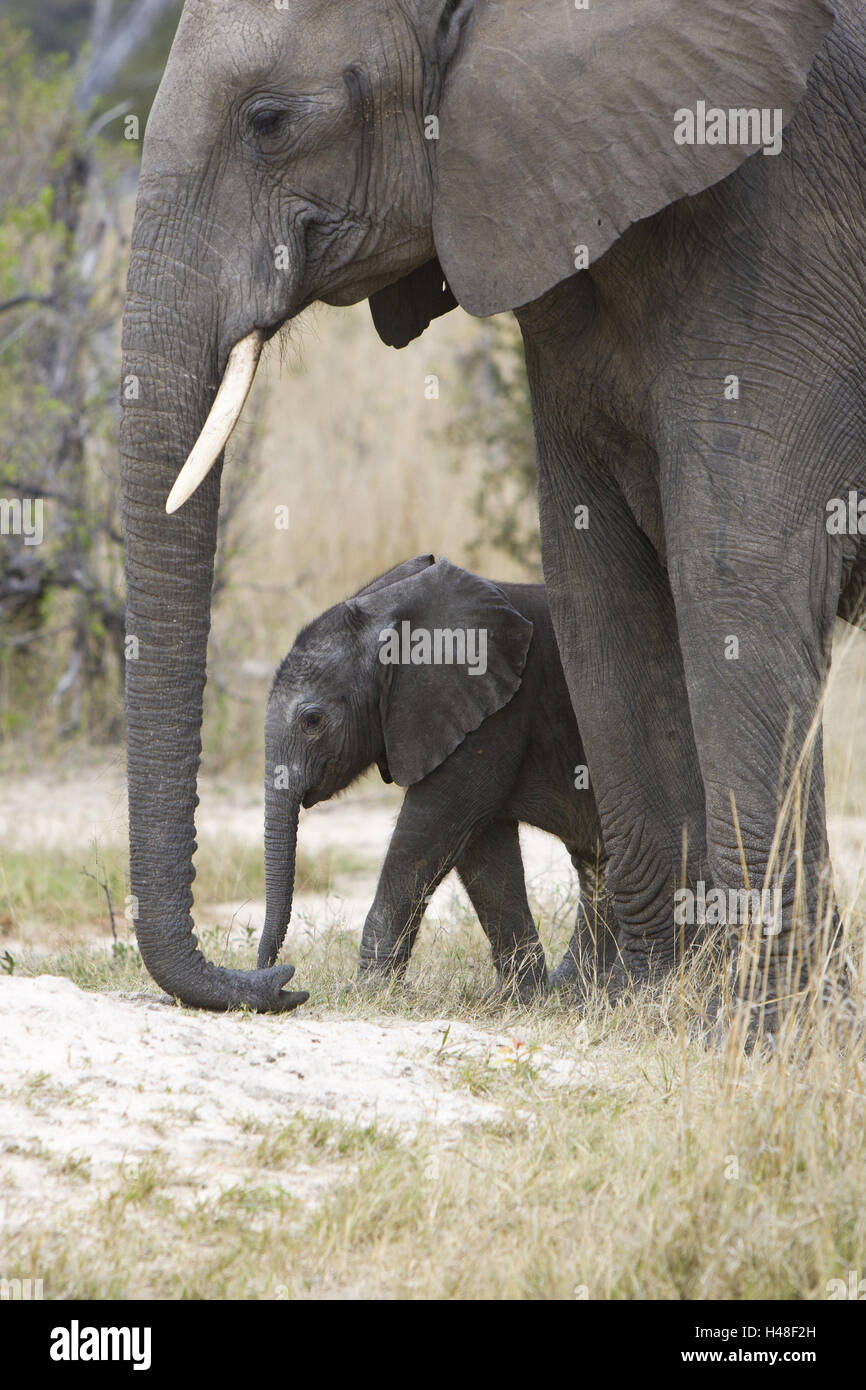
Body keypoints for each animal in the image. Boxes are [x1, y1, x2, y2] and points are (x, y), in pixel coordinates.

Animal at [261, 553, 619, 1000]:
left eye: (312, 721)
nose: (280, 978)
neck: (388, 611)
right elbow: (483, 847)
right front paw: (522, 999)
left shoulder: (497, 710)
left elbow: (434, 828)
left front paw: (366, 993)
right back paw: (578, 990)